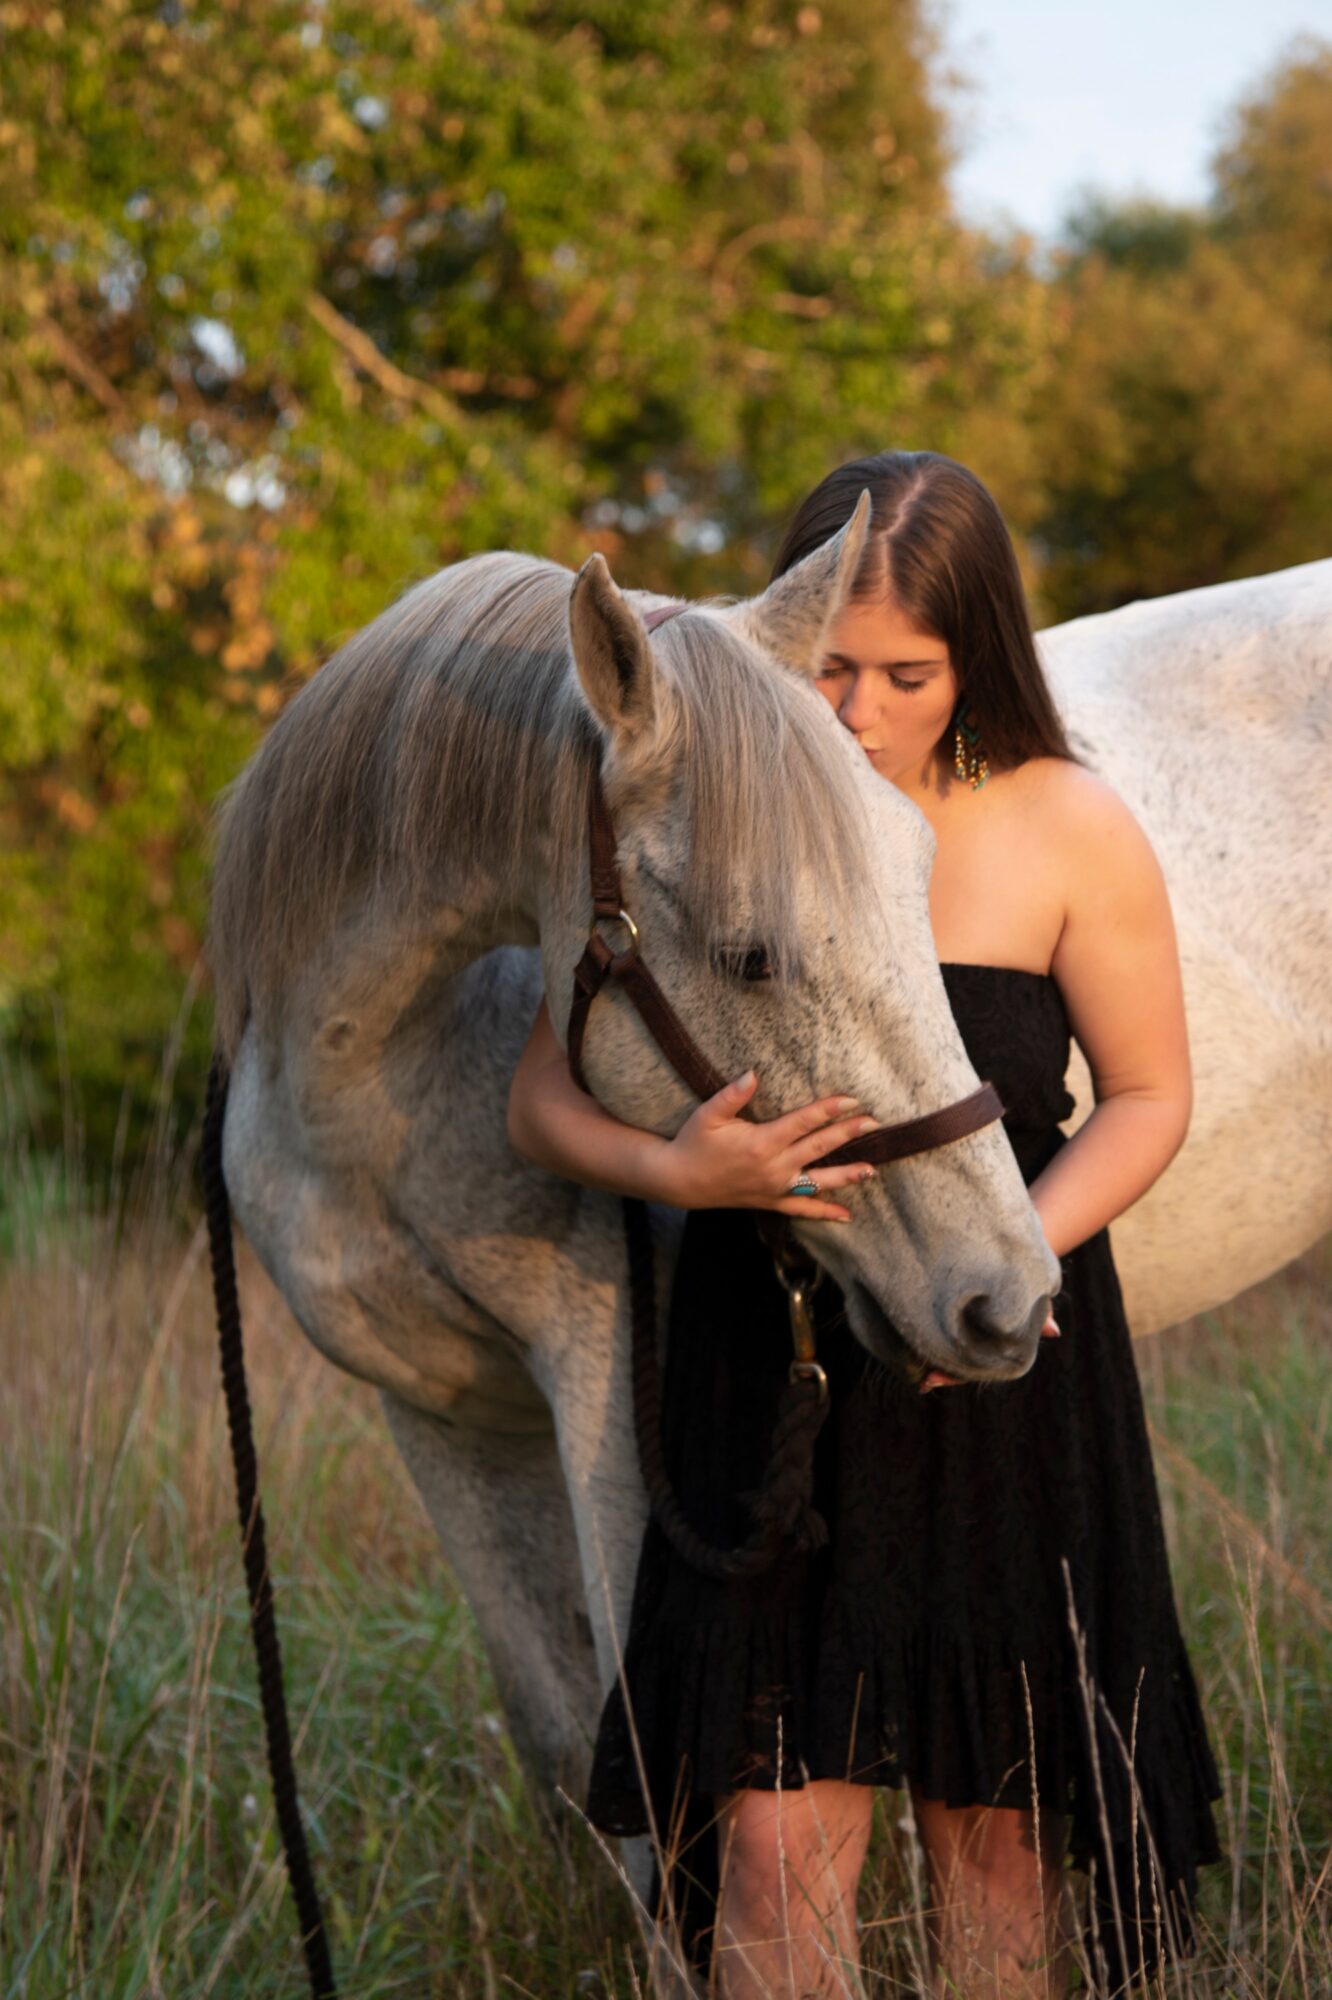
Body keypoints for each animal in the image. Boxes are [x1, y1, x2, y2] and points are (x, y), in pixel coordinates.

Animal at [207, 498, 1061, 1816]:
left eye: (923, 868)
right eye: (752, 956)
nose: (1007, 1294)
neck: (372, 1103)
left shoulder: (607, 1395)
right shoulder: (440, 1414)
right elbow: (562, 1732)